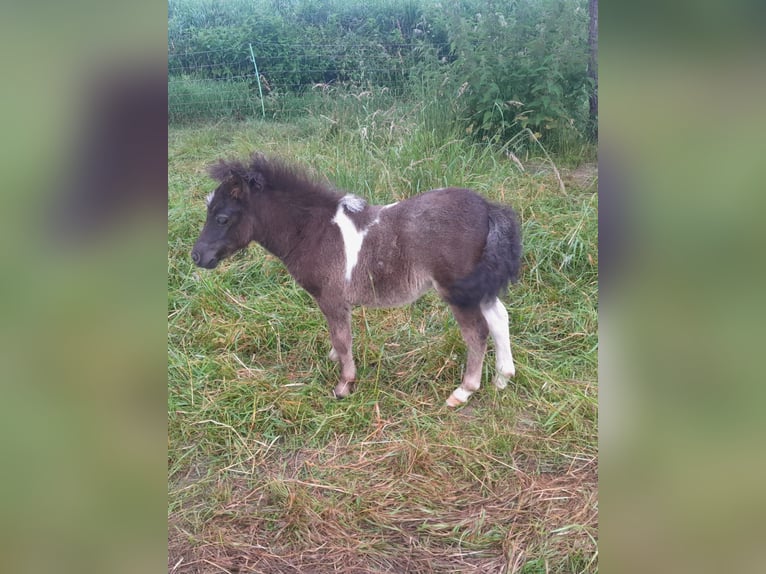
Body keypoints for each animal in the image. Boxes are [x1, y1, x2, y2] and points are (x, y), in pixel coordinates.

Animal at [195, 153, 524, 404]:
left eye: (222, 218)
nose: (197, 256)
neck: (315, 232)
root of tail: (487, 207)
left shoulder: (332, 298)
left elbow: (343, 339)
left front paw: (344, 385)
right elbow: (338, 337)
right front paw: (334, 359)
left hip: (457, 290)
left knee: (477, 332)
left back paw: (463, 392)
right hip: (477, 287)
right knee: (499, 317)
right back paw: (503, 378)